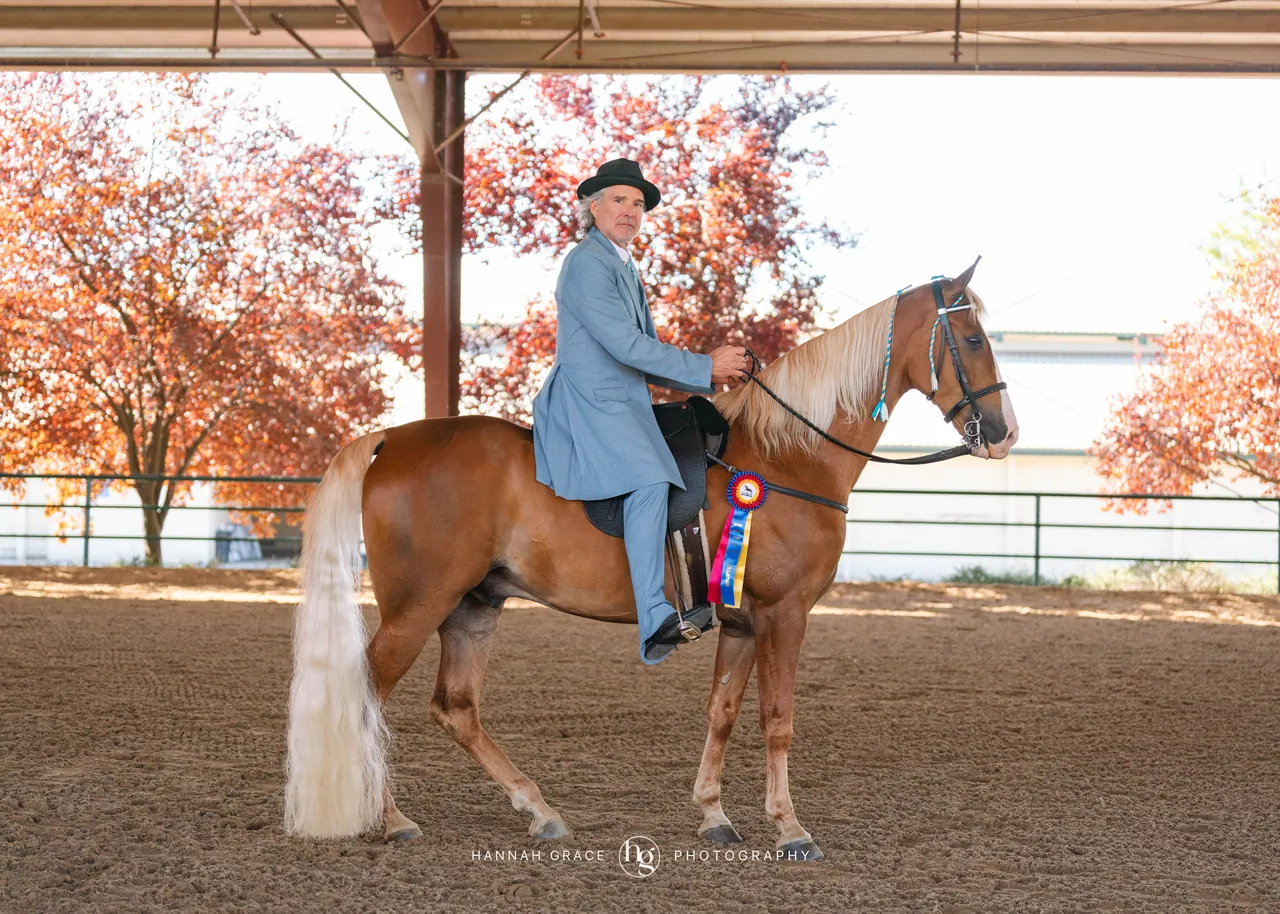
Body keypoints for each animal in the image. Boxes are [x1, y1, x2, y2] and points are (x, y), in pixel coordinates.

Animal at [283, 260, 1018, 861]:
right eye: (973, 340)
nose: (1005, 432)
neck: (788, 455)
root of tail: (390, 439)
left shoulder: (743, 623)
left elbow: (723, 712)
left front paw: (715, 816)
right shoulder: (785, 616)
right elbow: (777, 720)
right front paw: (791, 828)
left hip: (472, 608)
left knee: (456, 708)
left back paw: (538, 810)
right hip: (419, 608)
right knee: (367, 700)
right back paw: (392, 819)